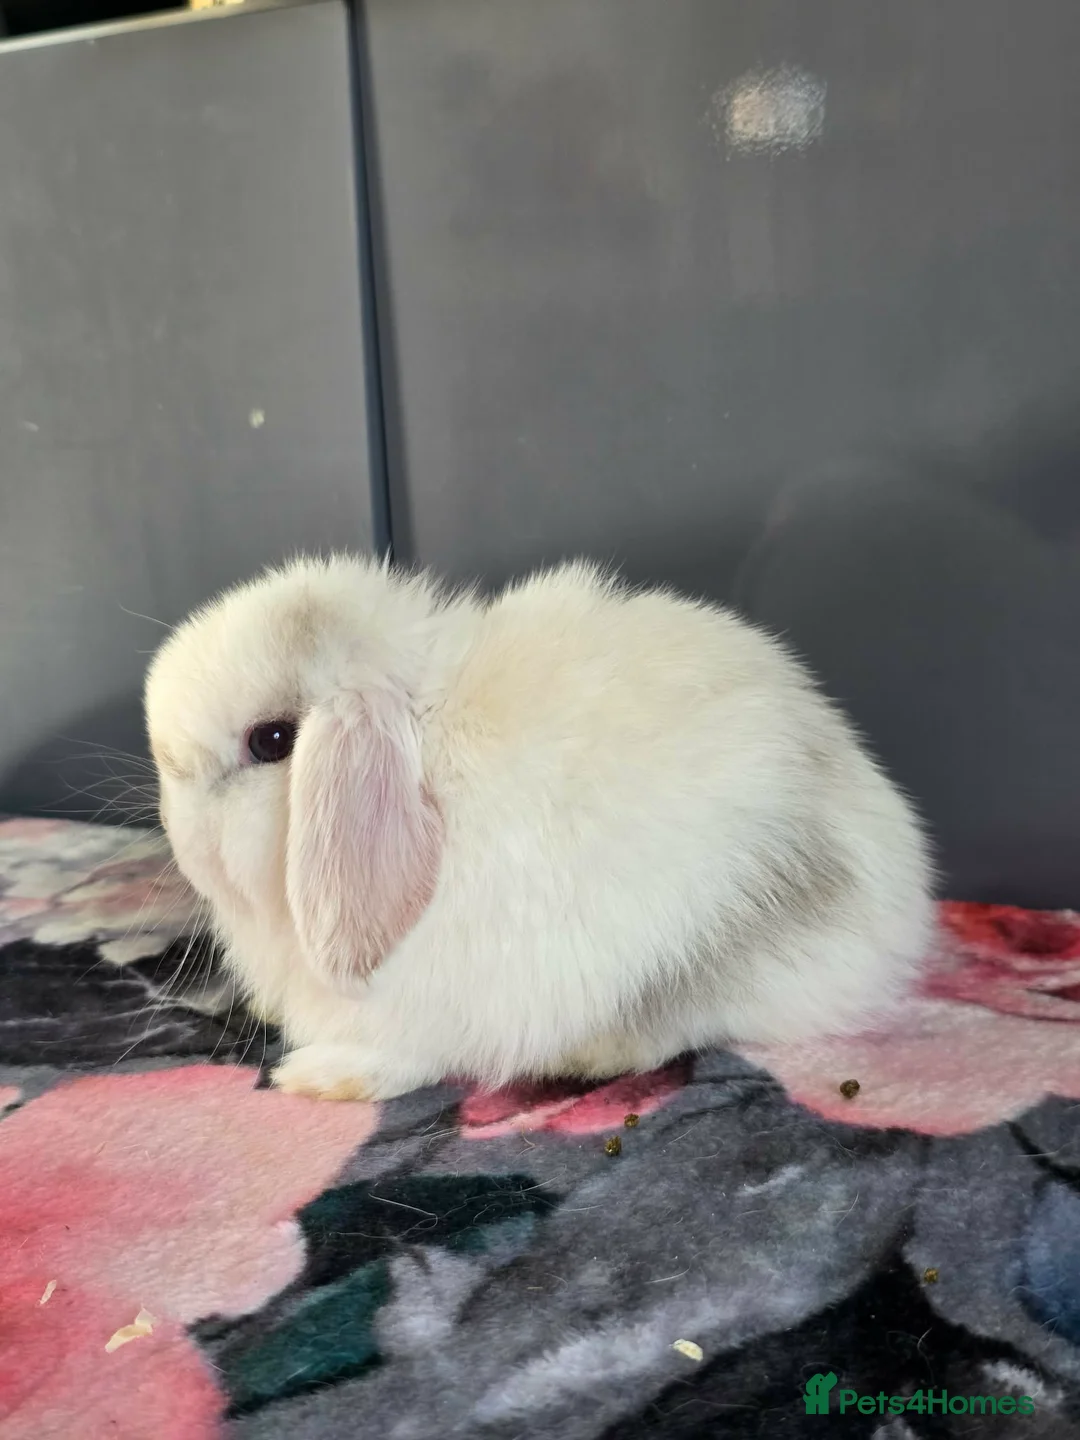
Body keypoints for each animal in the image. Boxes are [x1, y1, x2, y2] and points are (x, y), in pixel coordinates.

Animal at [144, 554, 934, 1102]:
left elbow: (409, 1057)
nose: (180, 843)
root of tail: (907, 911)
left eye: (273, 740)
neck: (425, 743)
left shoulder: (441, 1007)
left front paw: (317, 1077)